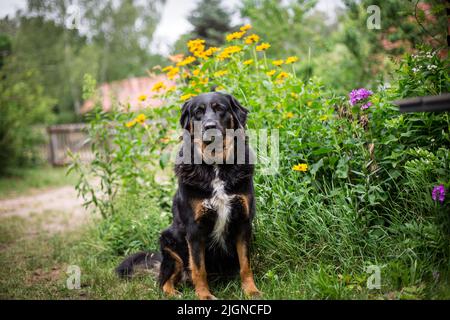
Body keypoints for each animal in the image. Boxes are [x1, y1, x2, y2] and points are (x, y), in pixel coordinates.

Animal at [116, 90, 260, 300]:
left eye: (220, 108)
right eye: (198, 112)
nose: (209, 126)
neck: (216, 166)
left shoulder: (243, 221)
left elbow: (245, 264)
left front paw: (251, 290)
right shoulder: (194, 230)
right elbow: (199, 269)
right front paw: (204, 295)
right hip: (170, 246)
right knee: (164, 281)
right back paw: (174, 293)